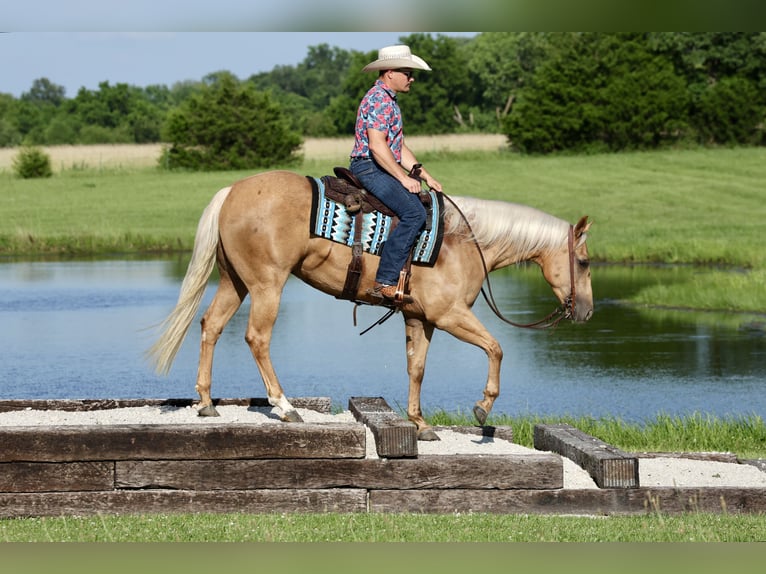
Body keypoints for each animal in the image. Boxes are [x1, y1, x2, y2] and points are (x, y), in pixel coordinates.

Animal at [148, 169, 593, 440]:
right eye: (585, 263)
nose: (587, 312)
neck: (465, 241)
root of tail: (231, 193)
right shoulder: (449, 314)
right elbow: (496, 349)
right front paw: (482, 407)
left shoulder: (418, 317)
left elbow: (417, 368)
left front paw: (420, 423)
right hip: (266, 284)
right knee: (257, 337)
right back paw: (286, 407)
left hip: (235, 281)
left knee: (211, 325)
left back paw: (207, 404)